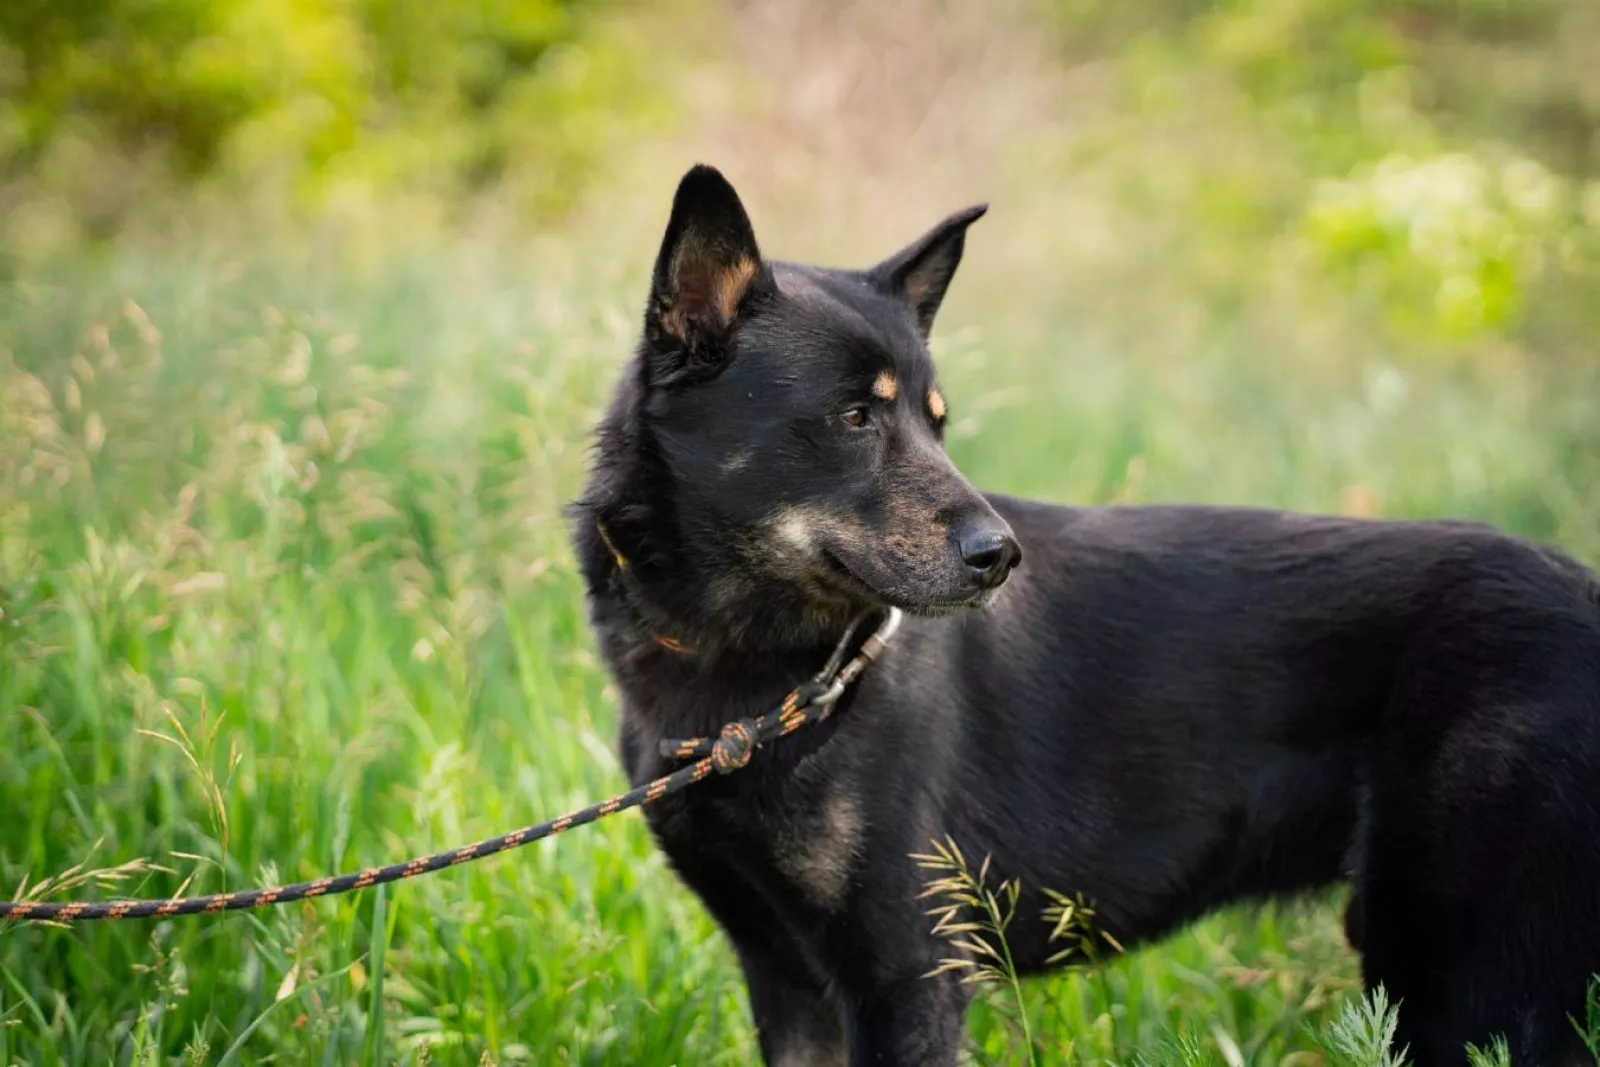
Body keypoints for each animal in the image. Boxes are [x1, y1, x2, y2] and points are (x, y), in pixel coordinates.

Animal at [573, 164, 1600, 1066]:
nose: (1000, 556)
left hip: (1464, 981)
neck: (749, 667)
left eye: (936, 423)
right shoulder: (786, 977)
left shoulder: (906, 974)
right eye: (855, 419)